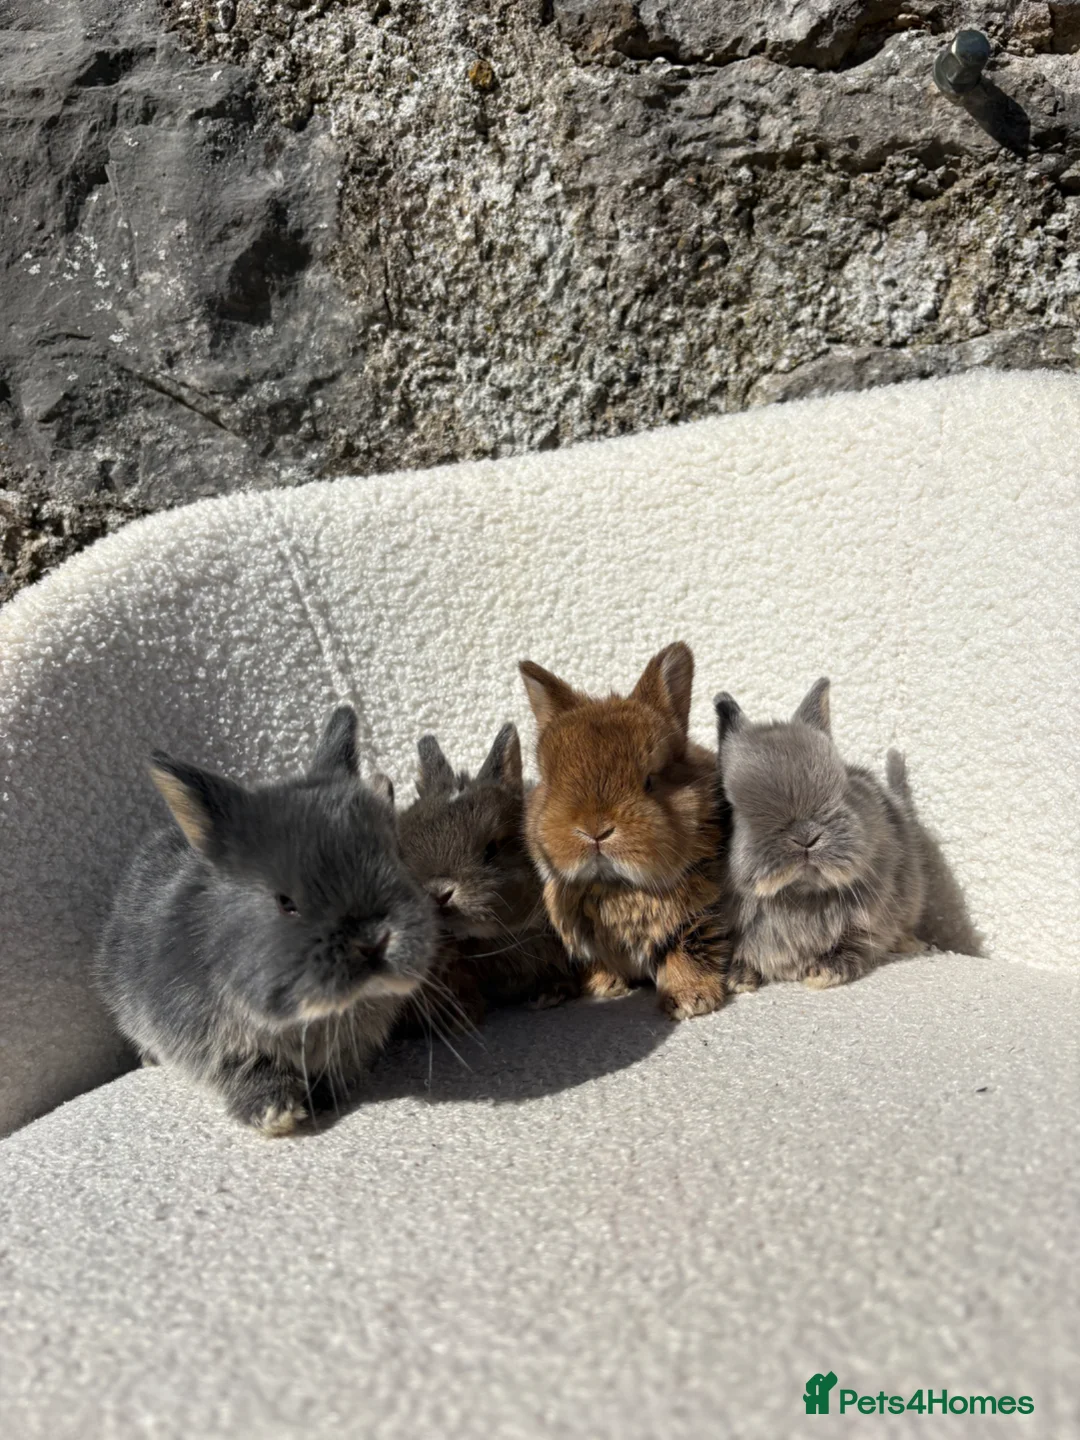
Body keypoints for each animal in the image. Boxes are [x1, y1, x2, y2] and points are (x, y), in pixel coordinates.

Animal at [95, 705, 437, 1136]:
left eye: (396, 857)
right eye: (285, 902)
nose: (373, 940)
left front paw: (322, 1099)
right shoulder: (208, 1043)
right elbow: (245, 1069)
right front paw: (277, 1114)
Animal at [519, 642, 732, 1021]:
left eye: (649, 781)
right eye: (552, 784)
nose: (595, 831)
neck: (617, 887)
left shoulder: (698, 919)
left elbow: (687, 951)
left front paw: (691, 1000)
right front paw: (602, 987)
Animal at [714, 678, 927, 991]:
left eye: (842, 787)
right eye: (730, 806)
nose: (806, 837)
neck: (796, 897)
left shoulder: (870, 922)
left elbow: (856, 945)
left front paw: (823, 973)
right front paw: (738, 978)